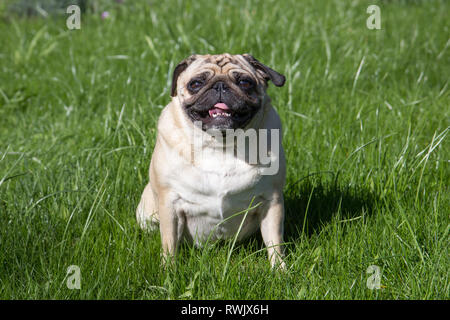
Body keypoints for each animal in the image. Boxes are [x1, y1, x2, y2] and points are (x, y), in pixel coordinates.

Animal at [135, 53, 286, 268]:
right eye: (196, 83)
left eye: (245, 82)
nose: (220, 85)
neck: (220, 146)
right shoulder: (170, 204)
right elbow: (169, 242)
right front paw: (169, 270)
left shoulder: (271, 201)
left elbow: (275, 242)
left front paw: (279, 269)